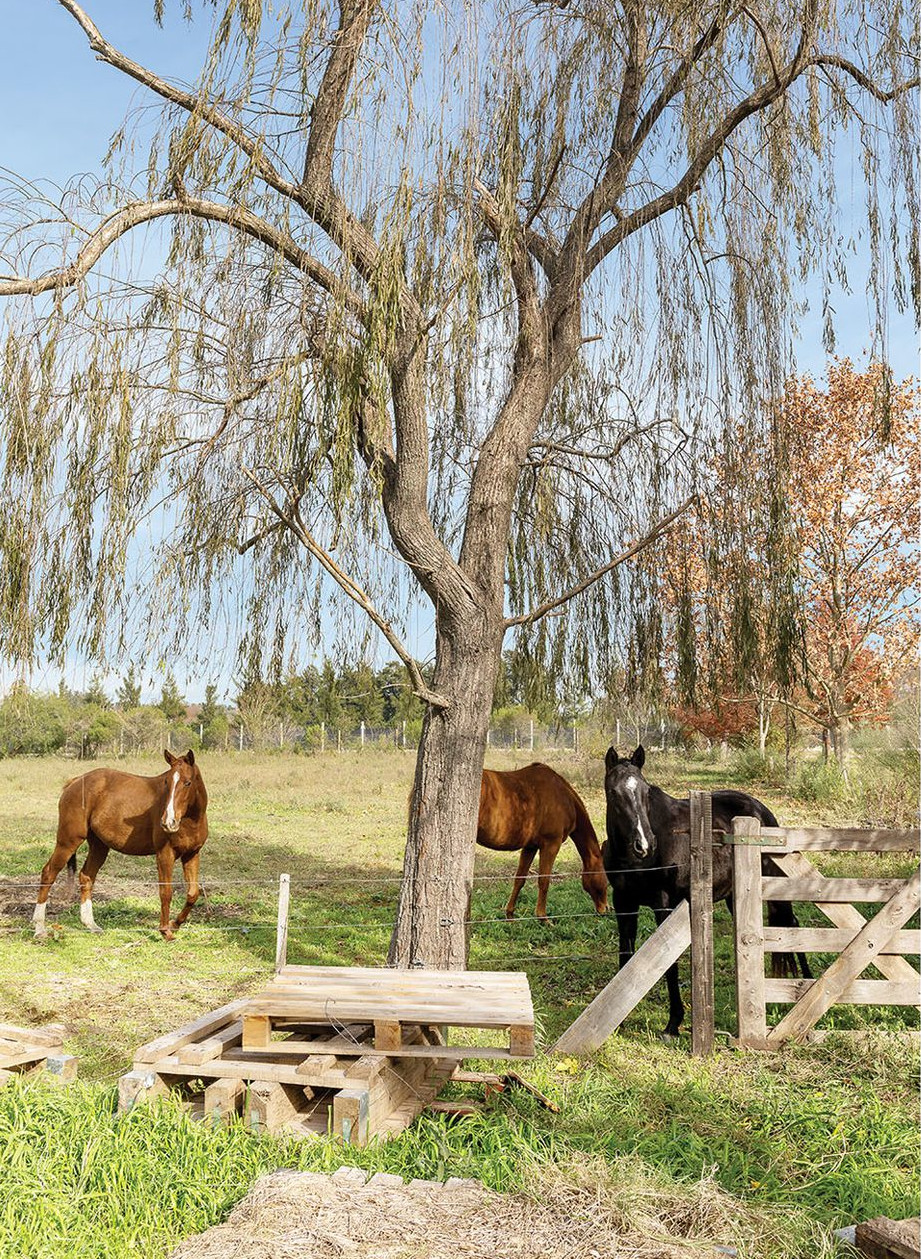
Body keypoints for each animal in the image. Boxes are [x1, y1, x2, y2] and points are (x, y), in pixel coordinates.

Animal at [32, 749, 208, 942]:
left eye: (187, 782)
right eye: (166, 782)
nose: (168, 822)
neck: (190, 821)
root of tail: (75, 781)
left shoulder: (192, 854)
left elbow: (193, 893)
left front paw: (175, 924)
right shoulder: (164, 855)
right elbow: (166, 892)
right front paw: (165, 931)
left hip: (99, 846)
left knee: (86, 877)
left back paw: (91, 925)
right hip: (68, 841)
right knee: (48, 873)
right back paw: (39, 928)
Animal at [477, 763, 609, 921]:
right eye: (607, 880)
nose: (606, 909)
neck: (564, 797)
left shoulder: (530, 847)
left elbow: (520, 879)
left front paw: (510, 914)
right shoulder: (551, 844)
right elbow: (544, 880)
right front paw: (543, 918)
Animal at [602, 745, 811, 1038]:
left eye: (645, 791)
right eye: (613, 792)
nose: (644, 844)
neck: (635, 861)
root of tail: (761, 810)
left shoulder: (663, 905)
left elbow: (670, 965)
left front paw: (673, 1023)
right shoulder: (623, 903)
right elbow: (625, 954)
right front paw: (617, 1017)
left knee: (792, 925)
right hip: (735, 897)